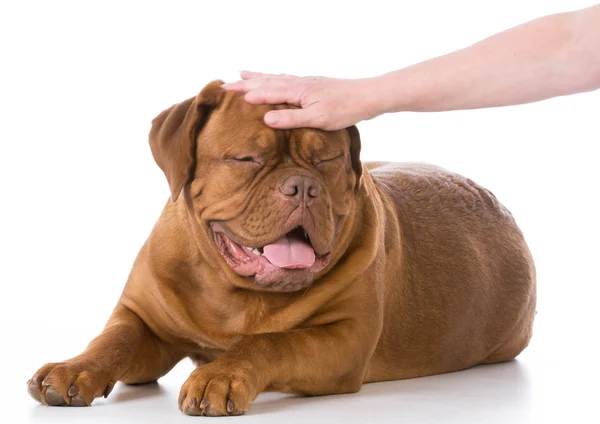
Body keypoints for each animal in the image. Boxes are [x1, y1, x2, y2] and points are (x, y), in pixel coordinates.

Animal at [27, 80, 536, 418]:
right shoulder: (143, 318)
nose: (303, 186)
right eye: (247, 158)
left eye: (326, 159)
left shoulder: (343, 339)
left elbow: (271, 341)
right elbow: (113, 339)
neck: (231, 291)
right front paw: (72, 369)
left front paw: (220, 374)